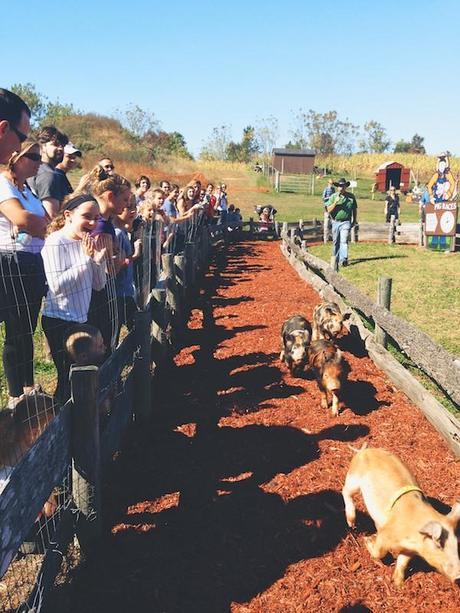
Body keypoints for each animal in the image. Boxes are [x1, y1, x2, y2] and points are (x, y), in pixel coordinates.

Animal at [342, 448, 460, 584]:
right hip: (353, 478)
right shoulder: (385, 533)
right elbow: (379, 552)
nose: (458, 577)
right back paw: (351, 523)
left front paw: (398, 583)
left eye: (457, 544)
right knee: (345, 491)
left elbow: (403, 562)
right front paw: (368, 540)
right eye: (439, 545)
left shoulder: (408, 550)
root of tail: (366, 450)